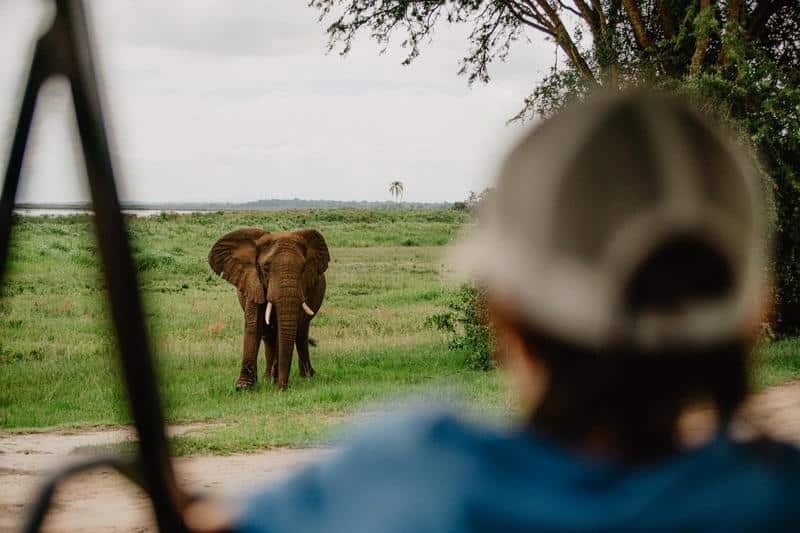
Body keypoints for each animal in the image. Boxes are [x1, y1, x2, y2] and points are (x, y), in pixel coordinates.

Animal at [209, 227, 332, 388]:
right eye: (265, 268)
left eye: (303, 269)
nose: (282, 388)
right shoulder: (252, 281)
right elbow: (254, 324)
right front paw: (244, 387)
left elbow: (284, 328)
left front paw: (275, 380)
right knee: (268, 335)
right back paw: (268, 378)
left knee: (301, 332)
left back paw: (305, 376)